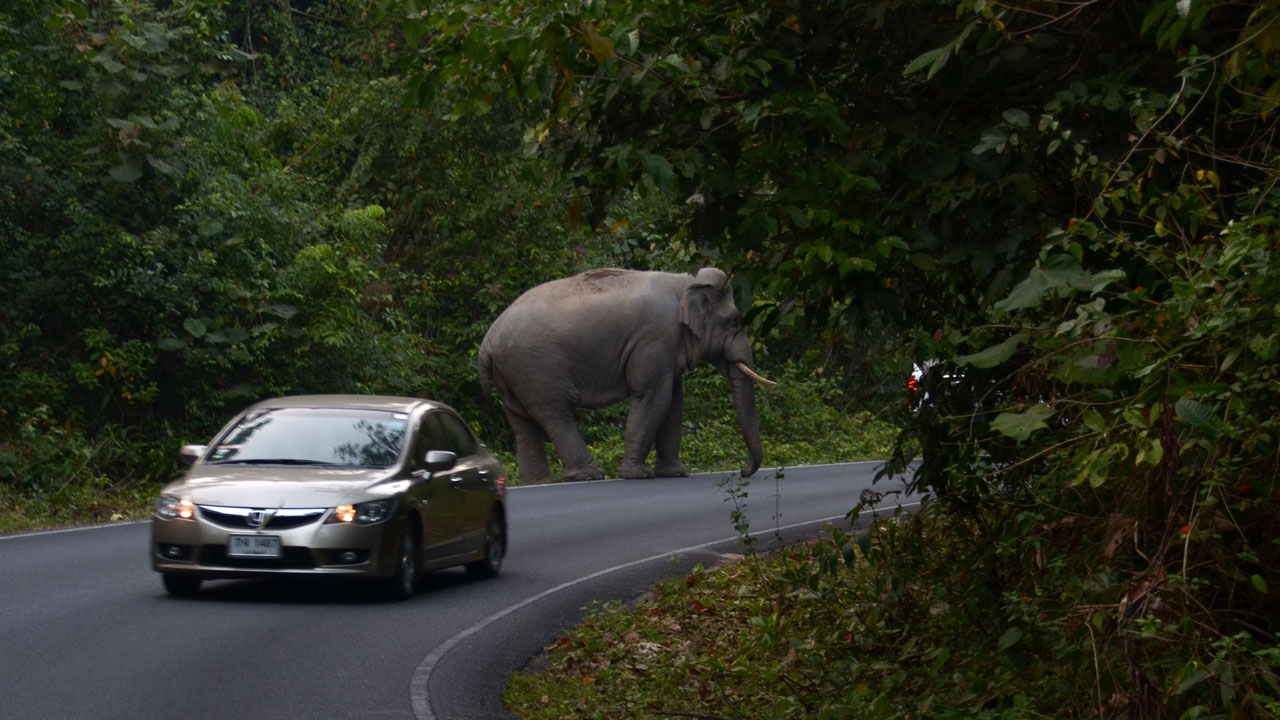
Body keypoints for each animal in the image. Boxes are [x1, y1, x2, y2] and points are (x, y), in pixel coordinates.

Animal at [478, 267, 768, 481]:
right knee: (555, 414)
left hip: (514, 375)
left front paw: (675, 473)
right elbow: (653, 396)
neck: (686, 283)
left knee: (521, 423)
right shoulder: (656, 339)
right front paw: (638, 475)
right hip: (536, 368)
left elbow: (674, 402)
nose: (743, 471)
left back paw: (539, 481)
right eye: (734, 321)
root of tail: (486, 344)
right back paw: (589, 475)